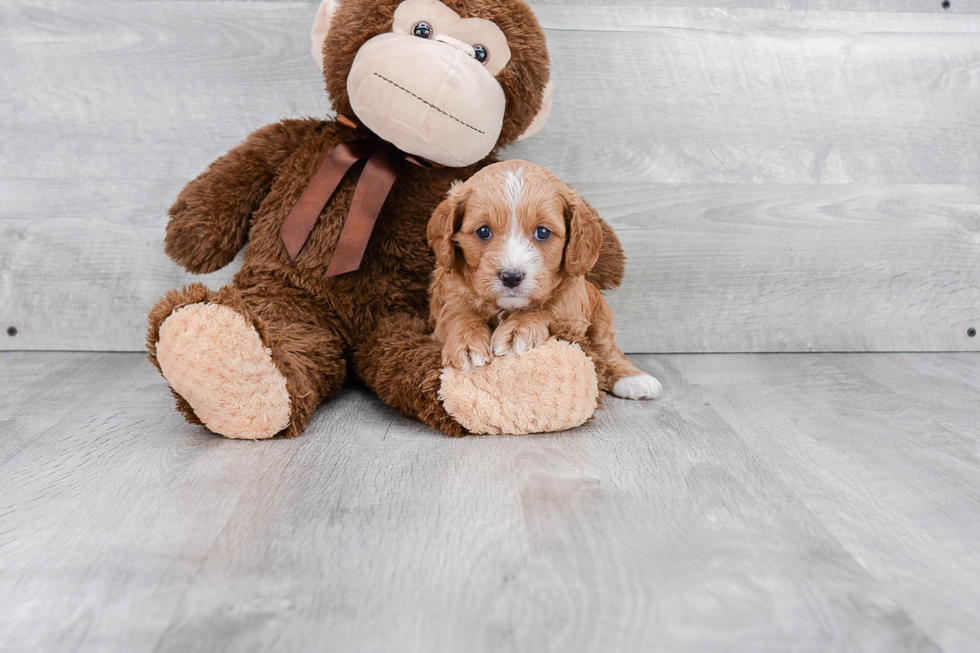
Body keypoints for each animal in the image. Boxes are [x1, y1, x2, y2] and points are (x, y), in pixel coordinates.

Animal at [426, 160, 664, 400]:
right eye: (483, 231)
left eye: (542, 232)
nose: (511, 277)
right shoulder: (446, 297)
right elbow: (456, 313)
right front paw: (467, 343)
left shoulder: (572, 304)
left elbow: (549, 308)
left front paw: (517, 329)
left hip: (600, 312)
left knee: (607, 347)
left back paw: (632, 377)